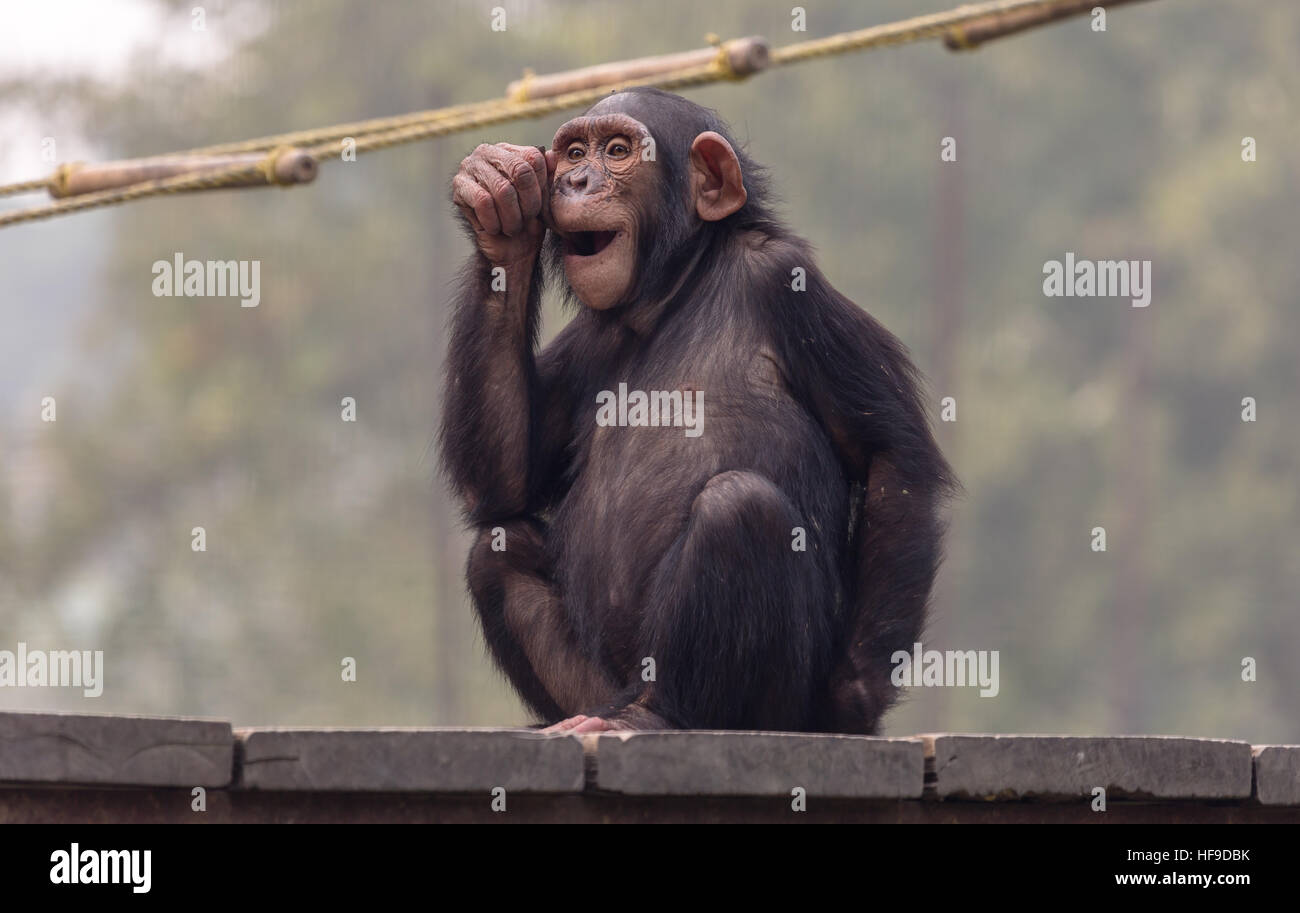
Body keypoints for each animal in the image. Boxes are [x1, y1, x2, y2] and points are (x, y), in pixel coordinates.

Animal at [441, 87, 951, 738]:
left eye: (617, 151)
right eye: (574, 151)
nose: (575, 180)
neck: (676, 290)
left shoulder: (786, 284)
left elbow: (889, 452)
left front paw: (854, 700)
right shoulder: (585, 342)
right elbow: (508, 480)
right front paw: (499, 195)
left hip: (771, 707)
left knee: (738, 507)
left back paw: (658, 715)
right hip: (595, 685)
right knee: (498, 546)